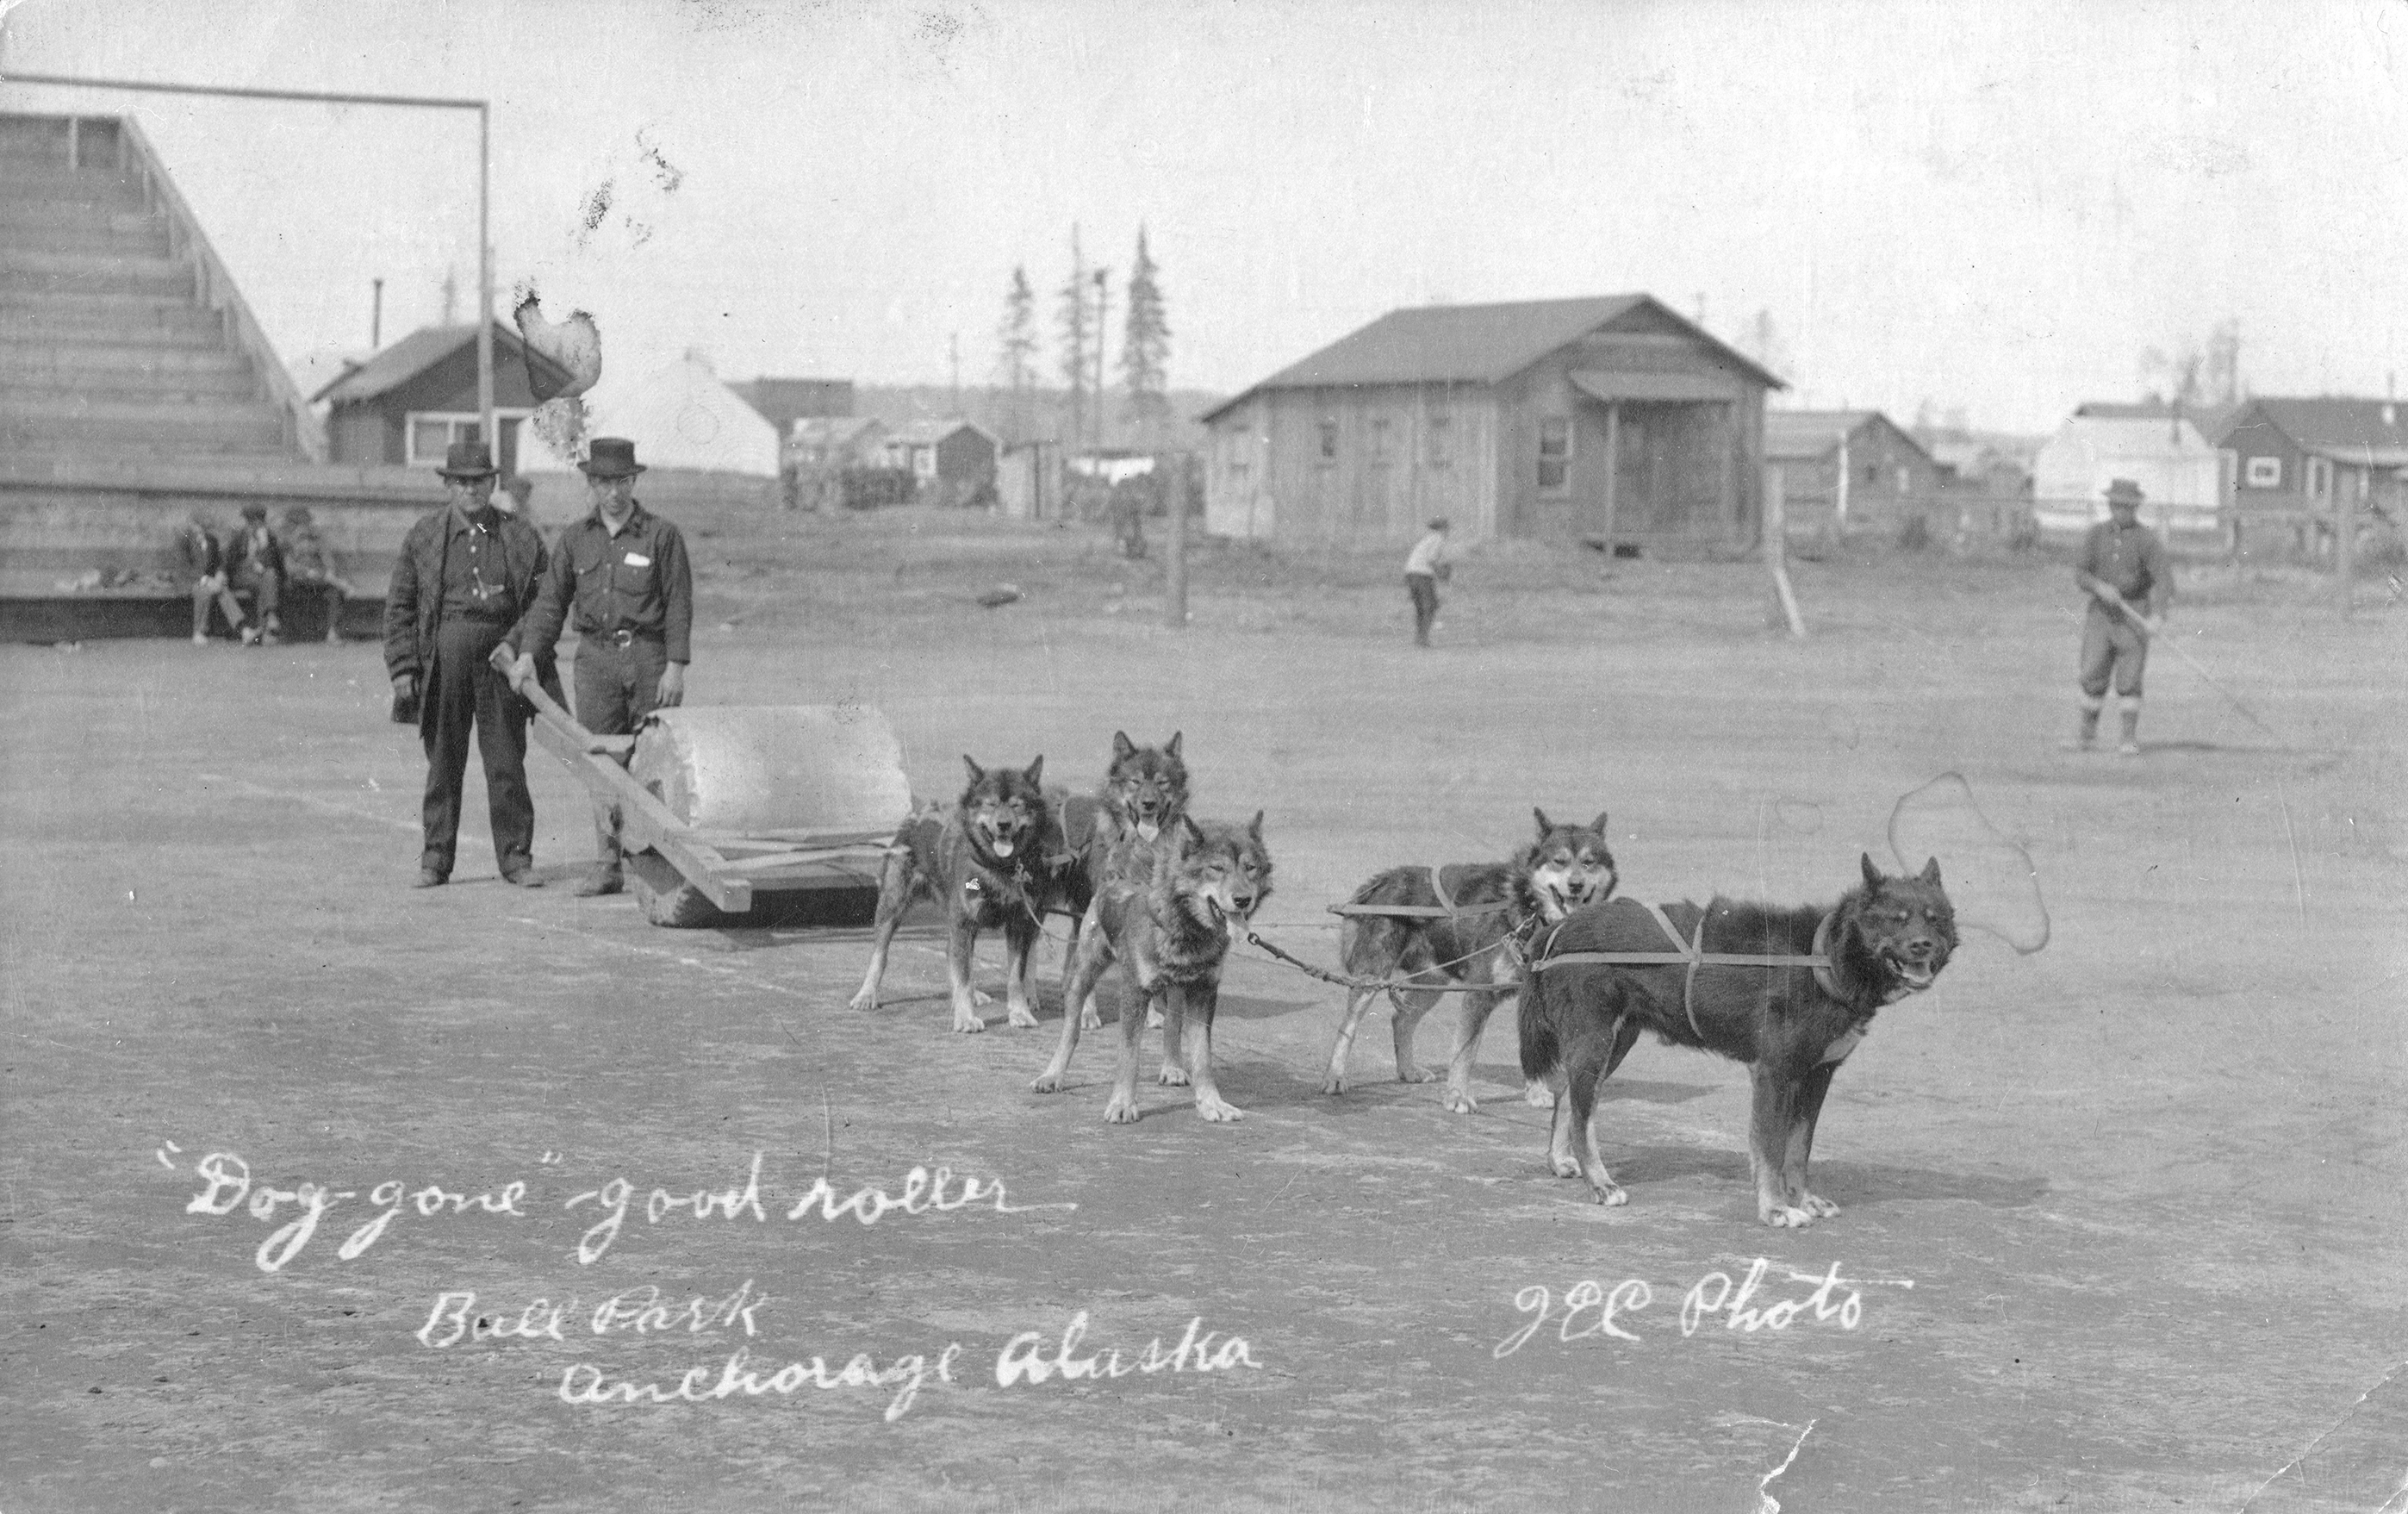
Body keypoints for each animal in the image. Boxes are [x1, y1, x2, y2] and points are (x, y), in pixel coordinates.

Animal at [1521, 857, 1955, 1223]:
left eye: (1934, 920)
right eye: (1896, 920)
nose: (1923, 944)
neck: (1824, 958)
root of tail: (1560, 927)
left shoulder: (1817, 1075)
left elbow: (1798, 1150)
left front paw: (1801, 1199)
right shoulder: (1773, 1074)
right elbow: (1772, 1150)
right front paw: (1775, 1209)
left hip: (1613, 1045)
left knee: (1568, 1098)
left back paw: (1561, 1161)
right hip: (1594, 1041)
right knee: (1583, 1116)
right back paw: (1600, 1183)